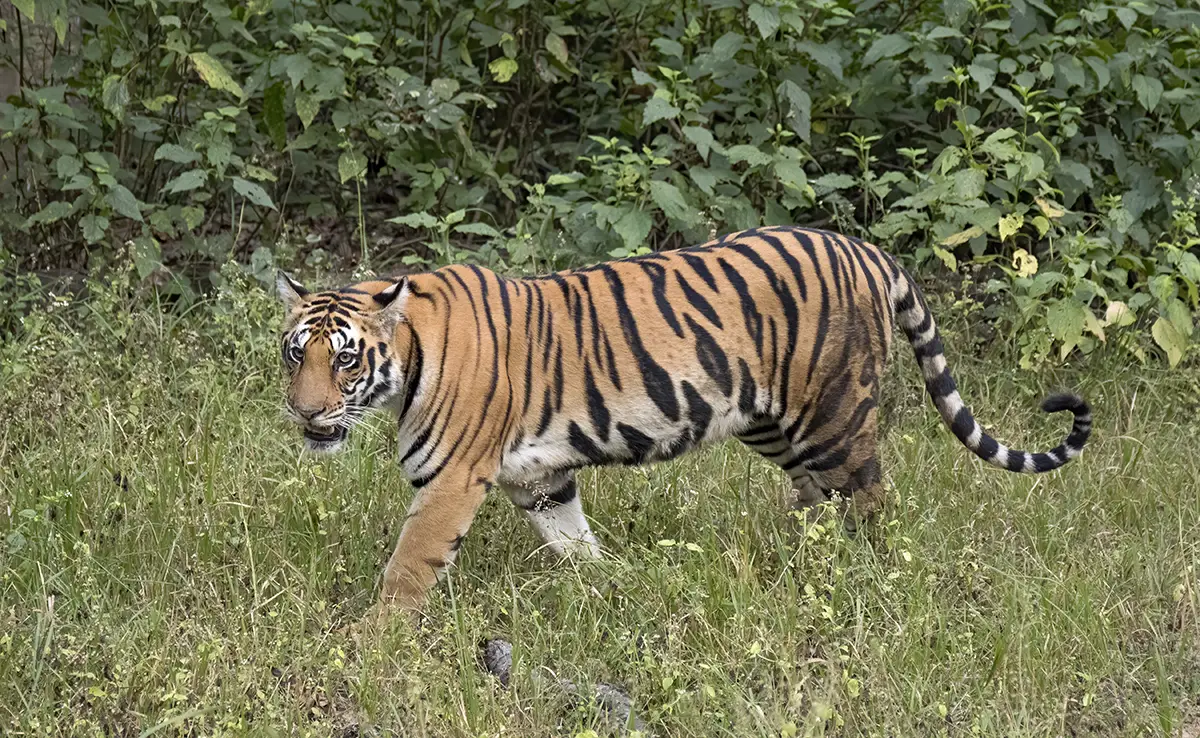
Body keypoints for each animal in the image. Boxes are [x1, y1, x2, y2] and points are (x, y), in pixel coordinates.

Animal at [276, 223, 1094, 612]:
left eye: (344, 360)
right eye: (295, 355)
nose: (305, 413)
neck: (407, 359)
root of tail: (867, 250)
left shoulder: (451, 481)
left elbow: (408, 567)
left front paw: (377, 642)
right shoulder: (539, 478)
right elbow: (573, 542)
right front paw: (608, 589)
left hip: (833, 417)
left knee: (871, 501)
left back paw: (867, 577)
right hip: (773, 422)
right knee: (816, 499)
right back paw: (797, 562)